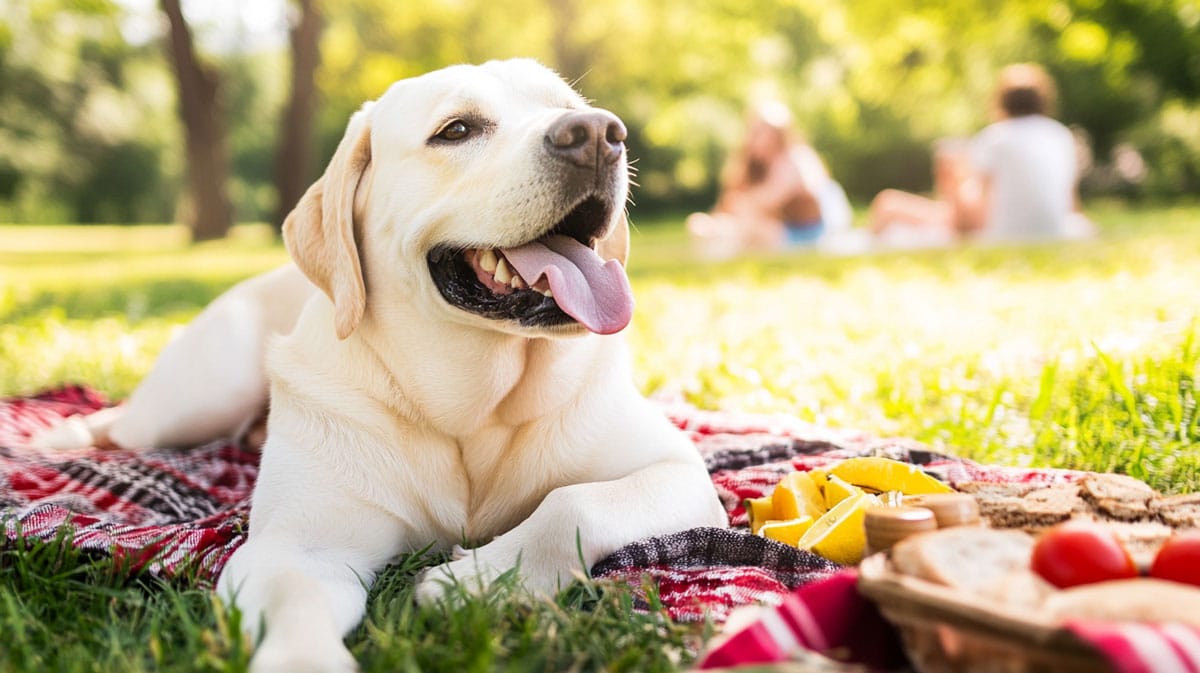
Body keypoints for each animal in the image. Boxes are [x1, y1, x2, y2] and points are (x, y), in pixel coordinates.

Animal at [37, 60, 724, 667]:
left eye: (570, 108)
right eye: (457, 130)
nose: (600, 135)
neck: (471, 405)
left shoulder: (680, 475)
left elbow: (573, 503)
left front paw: (477, 580)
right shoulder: (298, 545)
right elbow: (298, 604)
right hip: (200, 397)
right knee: (121, 423)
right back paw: (57, 435)